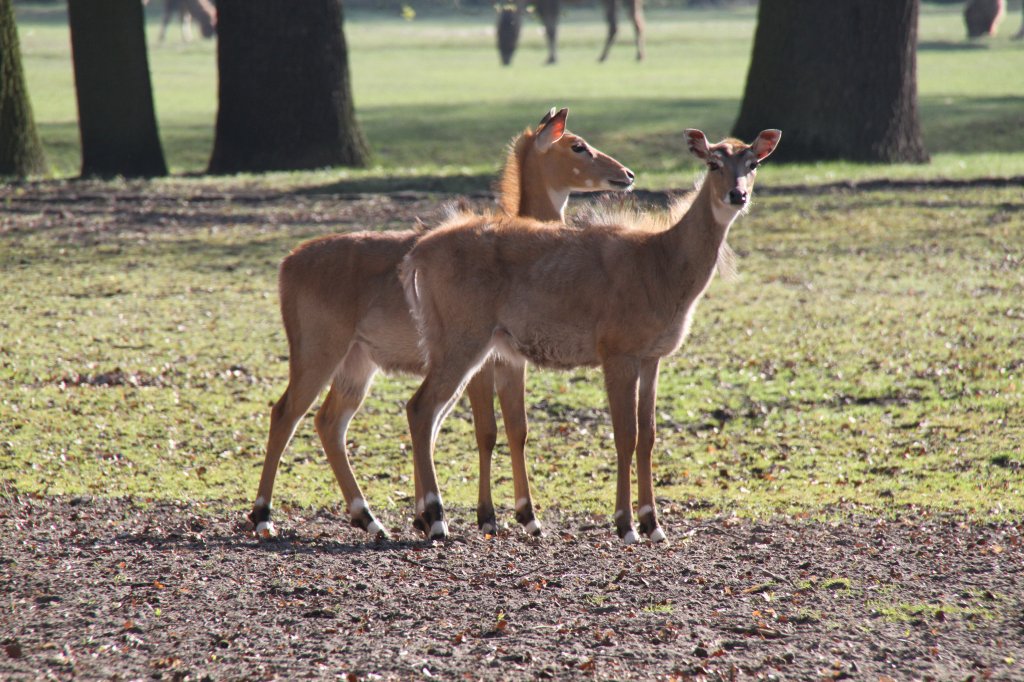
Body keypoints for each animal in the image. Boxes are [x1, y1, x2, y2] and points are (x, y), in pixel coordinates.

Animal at [246, 109, 630, 540]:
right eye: (578, 145)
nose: (627, 174)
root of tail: (288, 262)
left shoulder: (510, 361)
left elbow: (515, 429)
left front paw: (523, 516)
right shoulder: (484, 363)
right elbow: (485, 431)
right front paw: (484, 516)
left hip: (357, 363)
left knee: (329, 422)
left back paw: (369, 519)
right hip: (319, 352)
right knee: (285, 413)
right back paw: (264, 516)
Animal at [399, 127, 774, 540]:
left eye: (753, 164)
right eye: (713, 163)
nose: (737, 195)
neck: (662, 265)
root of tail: (416, 255)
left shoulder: (652, 356)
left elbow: (648, 435)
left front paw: (653, 523)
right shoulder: (616, 350)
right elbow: (624, 434)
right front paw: (626, 524)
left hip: (457, 344)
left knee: (430, 414)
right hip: (462, 339)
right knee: (419, 407)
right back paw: (436, 519)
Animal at [497, 0, 647, 65]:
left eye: (506, 32)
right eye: (497, 32)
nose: (504, 60)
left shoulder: (550, 3)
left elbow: (551, 29)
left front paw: (552, 58)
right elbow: (548, 28)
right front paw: (551, 57)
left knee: (622, 25)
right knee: (634, 23)